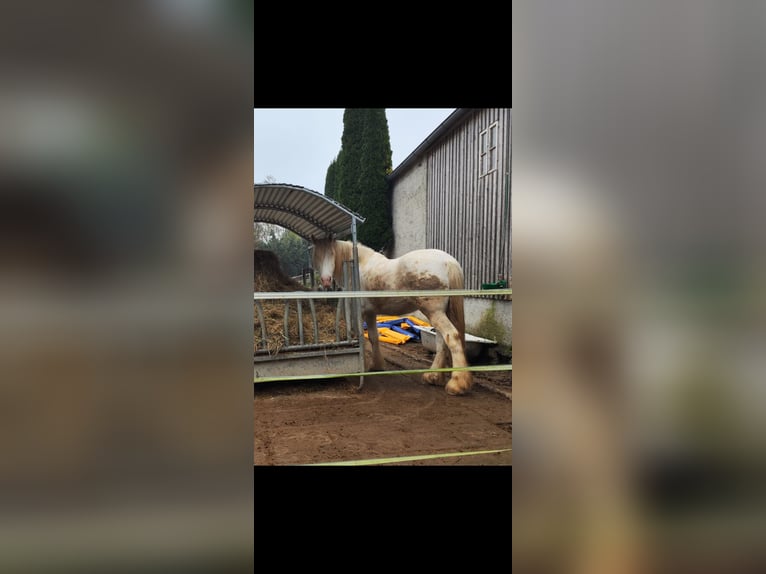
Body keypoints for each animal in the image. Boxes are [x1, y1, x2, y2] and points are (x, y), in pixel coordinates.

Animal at [314, 238, 474, 396]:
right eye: (317, 255)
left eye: (332, 253)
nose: (326, 280)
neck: (358, 267)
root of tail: (448, 261)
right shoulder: (371, 313)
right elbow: (373, 337)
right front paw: (377, 365)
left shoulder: (360, 313)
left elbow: (361, 337)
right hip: (439, 313)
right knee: (441, 342)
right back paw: (433, 376)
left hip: (434, 313)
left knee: (451, 336)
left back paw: (457, 384)